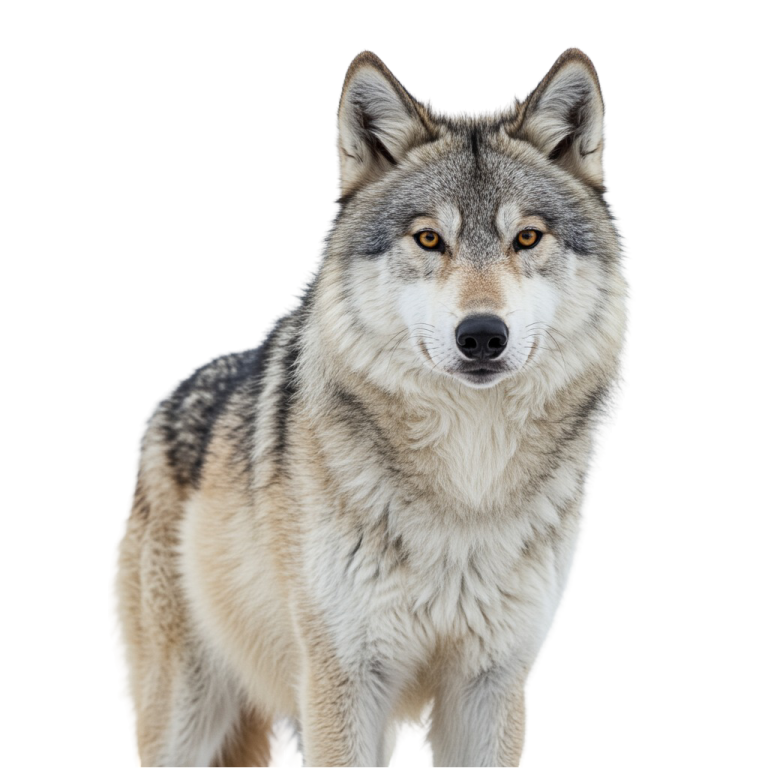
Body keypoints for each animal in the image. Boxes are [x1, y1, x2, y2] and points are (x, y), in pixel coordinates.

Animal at [108, 46, 633, 767]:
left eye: (527, 238)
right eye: (429, 240)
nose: (482, 335)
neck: (466, 487)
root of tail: (163, 403)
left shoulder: (491, 688)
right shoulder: (344, 682)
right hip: (183, 721)